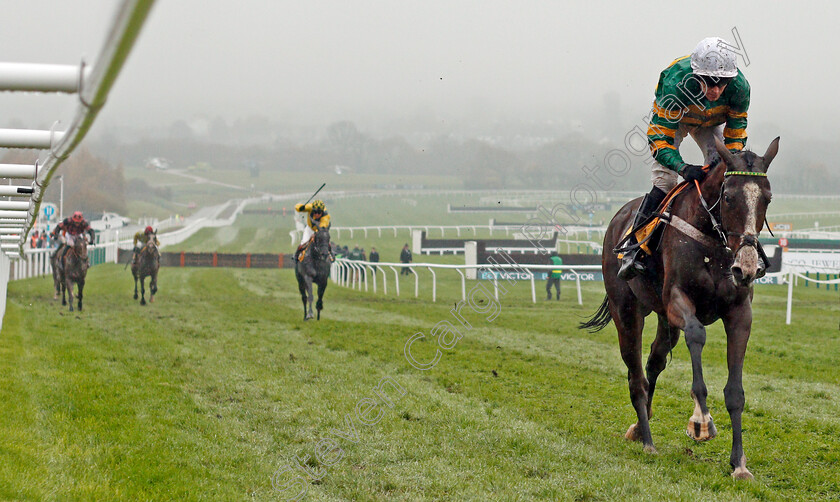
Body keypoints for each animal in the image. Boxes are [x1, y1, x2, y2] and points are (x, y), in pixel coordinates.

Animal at [580, 136, 776, 478]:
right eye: (729, 197)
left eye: (767, 198)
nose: (748, 267)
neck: (714, 242)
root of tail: (618, 219)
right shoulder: (677, 300)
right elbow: (696, 335)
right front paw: (701, 422)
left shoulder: (740, 314)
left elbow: (735, 392)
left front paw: (739, 463)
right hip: (626, 311)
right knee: (635, 376)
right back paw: (647, 441)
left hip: (664, 321)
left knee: (653, 363)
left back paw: (639, 427)